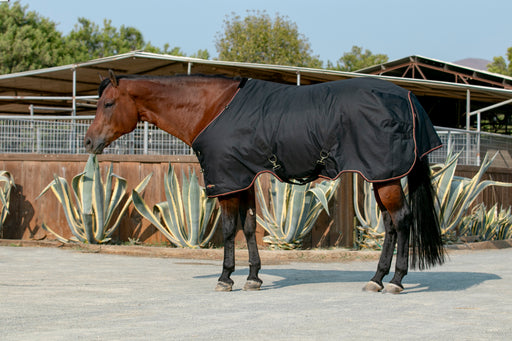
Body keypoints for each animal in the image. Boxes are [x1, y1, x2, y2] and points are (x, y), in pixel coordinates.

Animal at [84, 70, 444, 294]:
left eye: (109, 103)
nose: (89, 142)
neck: (214, 108)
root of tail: (408, 97)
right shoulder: (243, 179)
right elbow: (248, 227)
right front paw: (254, 278)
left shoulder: (227, 181)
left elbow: (229, 229)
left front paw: (225, 277)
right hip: (380, 176)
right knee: (391, 225)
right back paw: (378, 279)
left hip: (385, 178)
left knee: (402, 220)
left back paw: (395, 281)